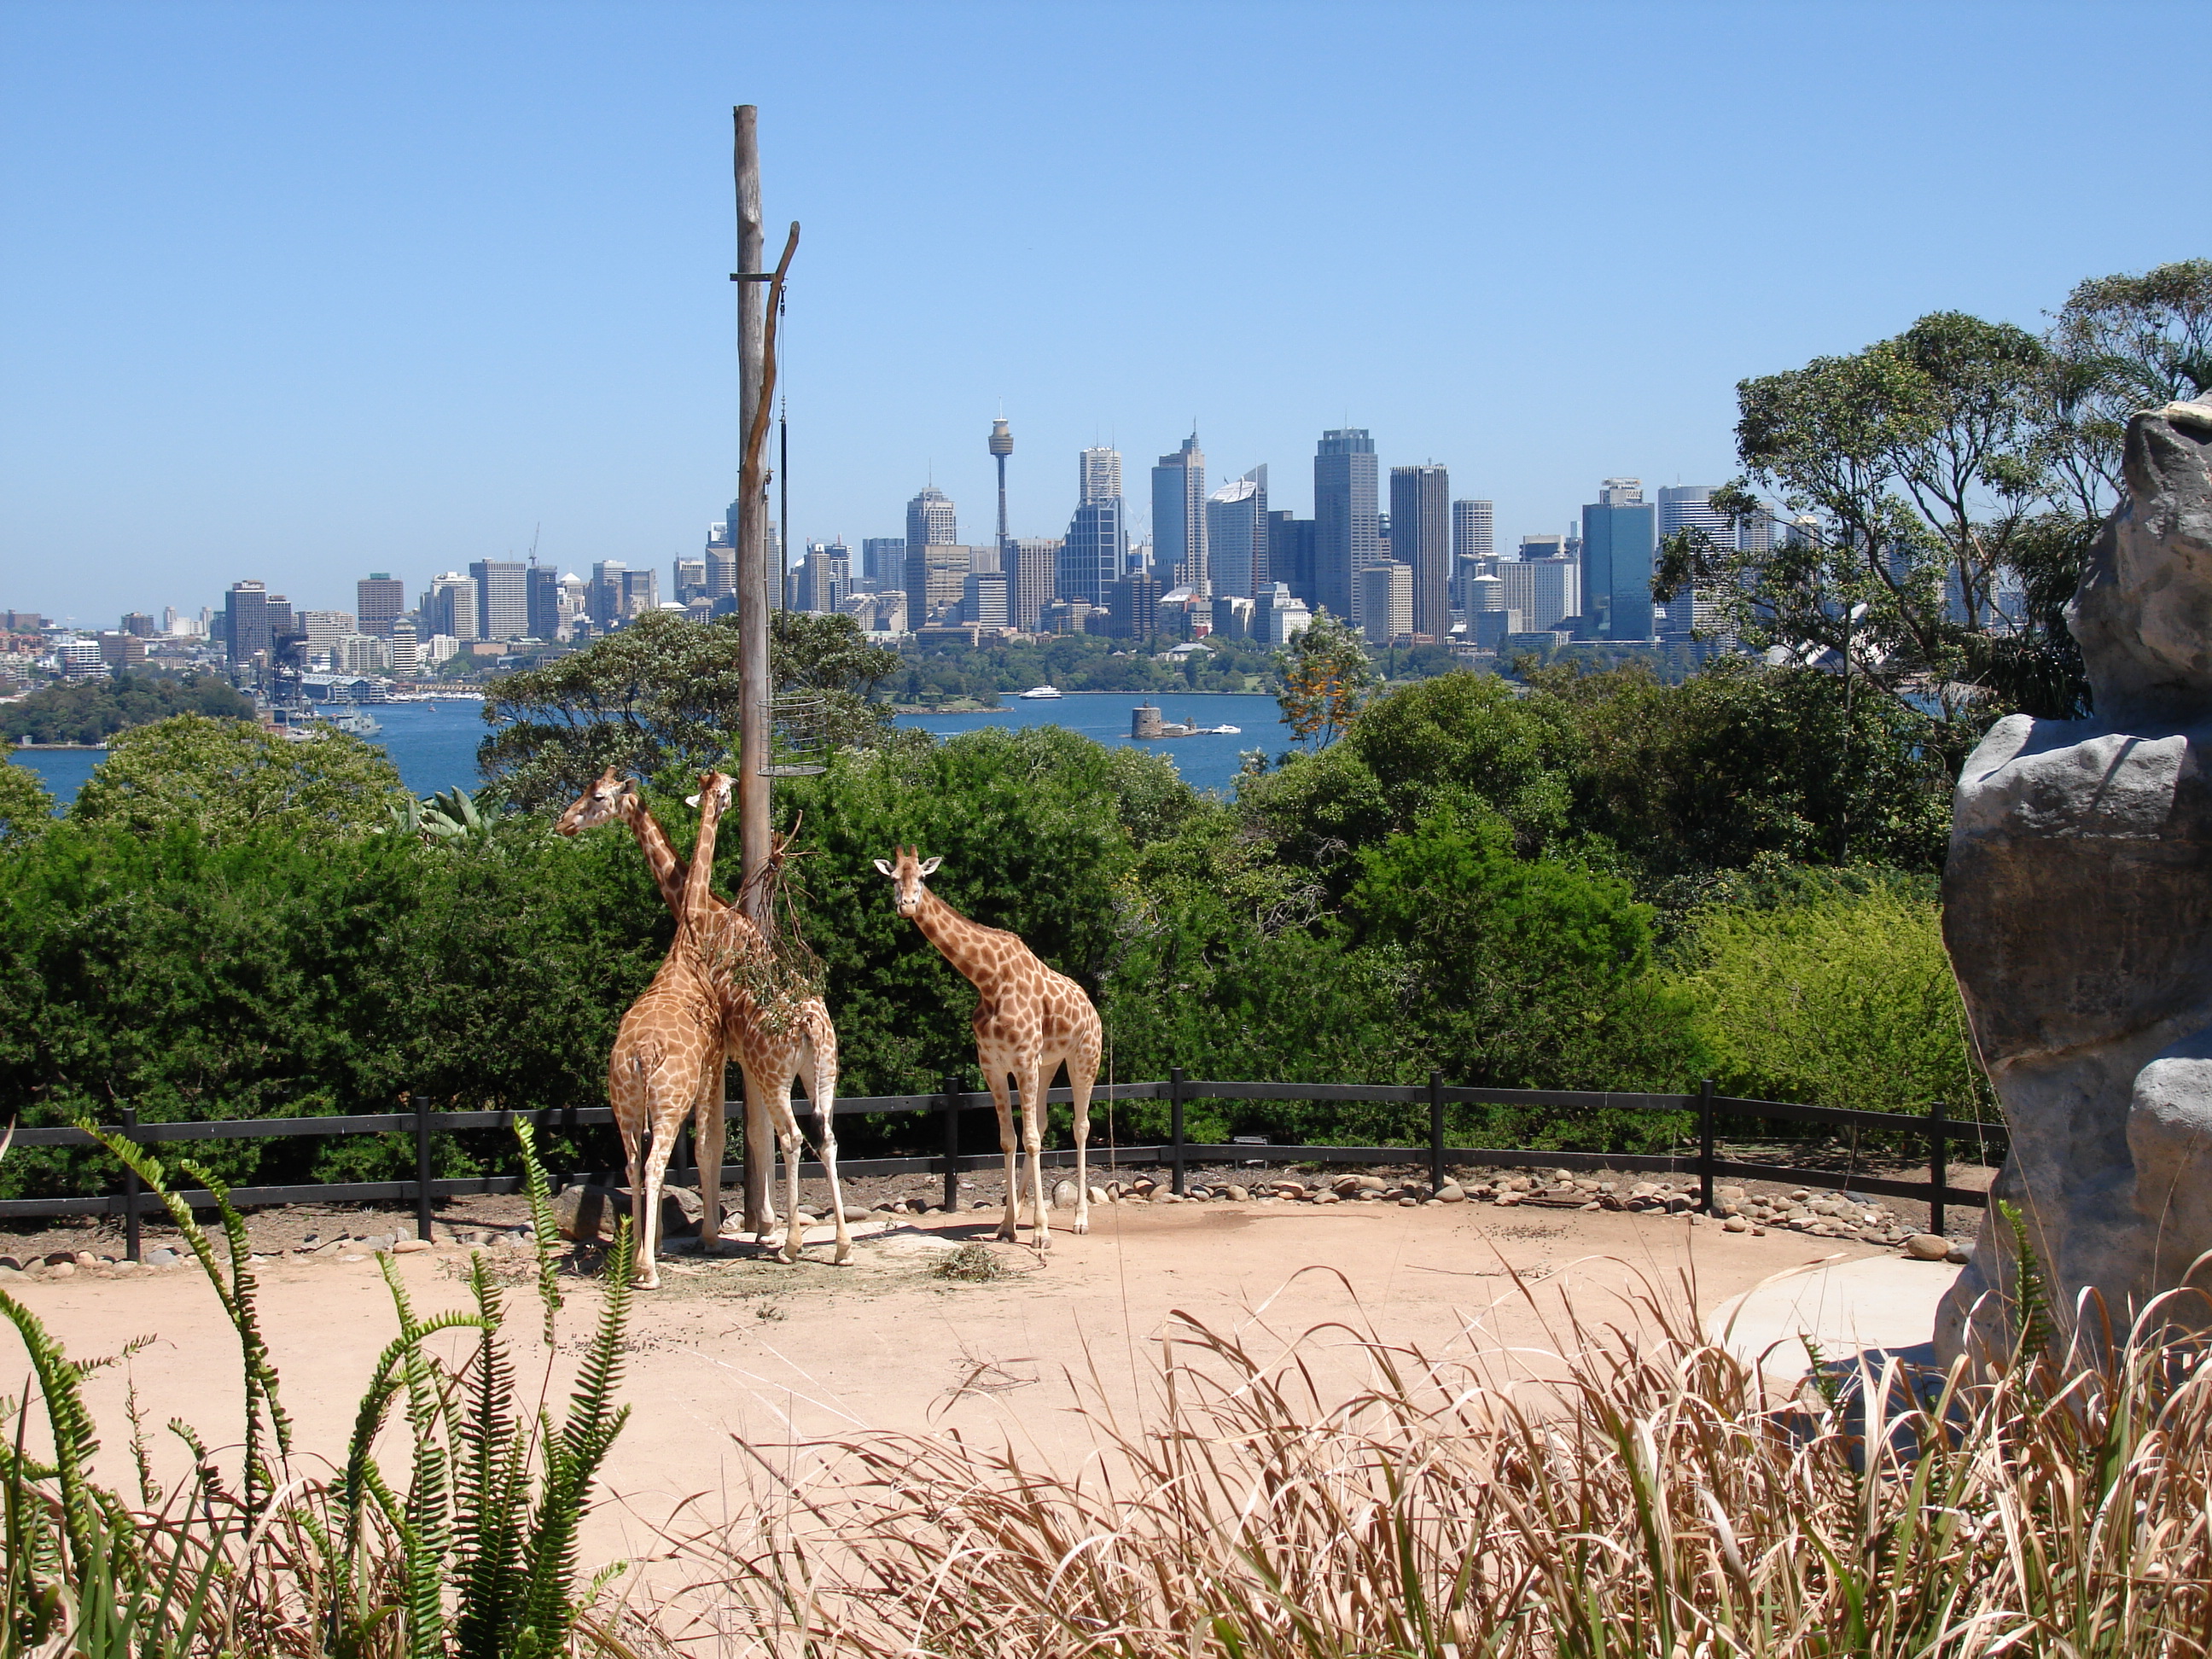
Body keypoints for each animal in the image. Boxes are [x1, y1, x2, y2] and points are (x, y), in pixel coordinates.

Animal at [557, 774, 849, 1265]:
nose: (564, 824)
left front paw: (732, 1231)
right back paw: (841, 1244)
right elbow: (752, 1136)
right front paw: (762, 1226)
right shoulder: (741, 1058)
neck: (707, 917)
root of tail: (811, 1025)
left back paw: (792, 1245)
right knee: (824, 1136)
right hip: (821, 1071)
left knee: (791, 1137)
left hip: (774, 1070)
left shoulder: (724, 1054)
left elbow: (718, 1140)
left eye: (597, 797)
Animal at [871, 849, 1097, 1256]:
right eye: (893, 878)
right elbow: (1010, 1139)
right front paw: (1007, 1227)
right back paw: (1019, 1211)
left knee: (1080, 1126)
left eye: (922, 879)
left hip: (1084, 1057)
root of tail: (1091, 1007)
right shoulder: (993, 1065)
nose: (906, 905)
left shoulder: (1022, 1059)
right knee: (1042, 1123)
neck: (989, 980)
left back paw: (1080, 1221)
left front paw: (1041, 1233)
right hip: (1049, 1063)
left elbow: (1031, 1140)